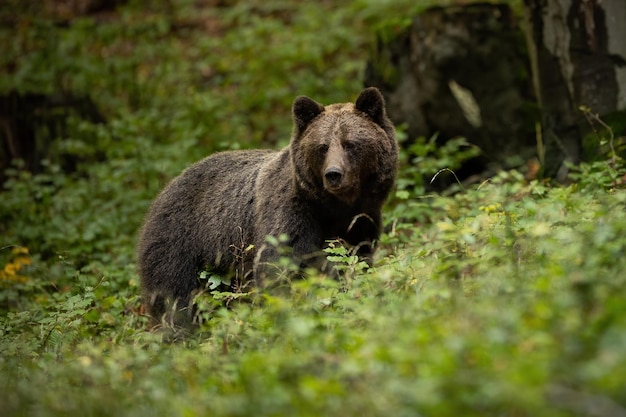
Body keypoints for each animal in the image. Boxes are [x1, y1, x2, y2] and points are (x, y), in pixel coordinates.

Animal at [138, 88, 394, 328]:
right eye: (322, 146)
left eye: (350, 144)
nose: (333, 174)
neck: (334, 208)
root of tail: (162, 193)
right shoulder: (291, 212)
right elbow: (281, 265)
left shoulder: (362, 220)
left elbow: (356, 257)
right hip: (181, 241)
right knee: (175, 296)